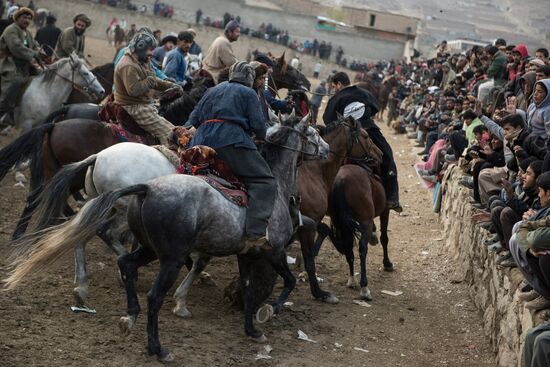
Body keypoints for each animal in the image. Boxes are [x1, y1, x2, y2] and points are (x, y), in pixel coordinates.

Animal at [5, 113, 332, 364]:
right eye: (313, 133)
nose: (327, 149)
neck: (274, 187)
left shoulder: (242, 252)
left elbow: (245, 288)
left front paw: (248, 325)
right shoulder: (271, 251)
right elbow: (283, 280)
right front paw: (269, 310)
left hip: (129, 228)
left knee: (103, 248)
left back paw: (103, 299)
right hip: (150, 241)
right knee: (134, 273)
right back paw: (153, 341)